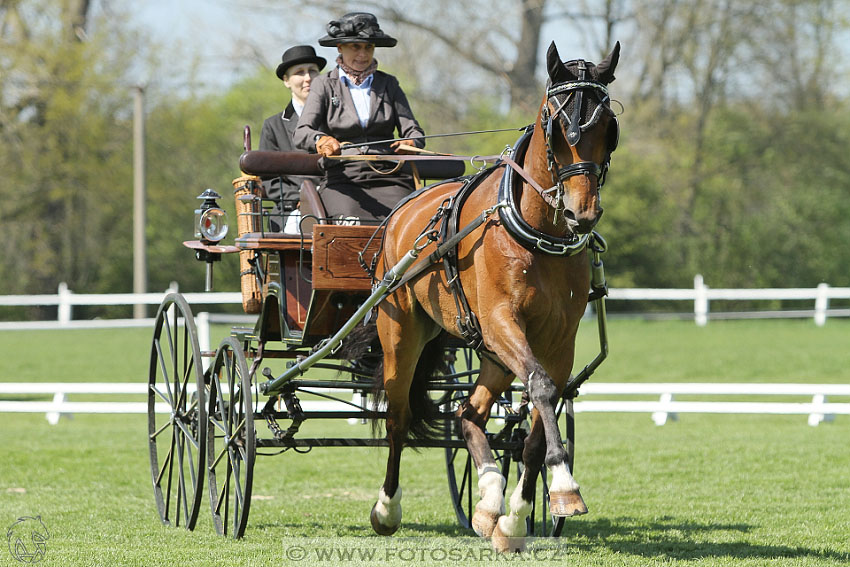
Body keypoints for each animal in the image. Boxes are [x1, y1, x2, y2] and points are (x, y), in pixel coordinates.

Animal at [368, 41, 620, 556]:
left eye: (609, 128)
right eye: (557, 126)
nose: (581, 213)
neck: (538, 232)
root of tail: (403, 211)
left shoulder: (558, 342)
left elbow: (538, 423)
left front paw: (517, 518)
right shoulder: (504, 320)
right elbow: (541, 388)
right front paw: (564, 484)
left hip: (493, 353)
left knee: (469, 413)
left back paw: (487, 499)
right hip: (402, 331)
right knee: (399, 417)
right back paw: (387, 508)